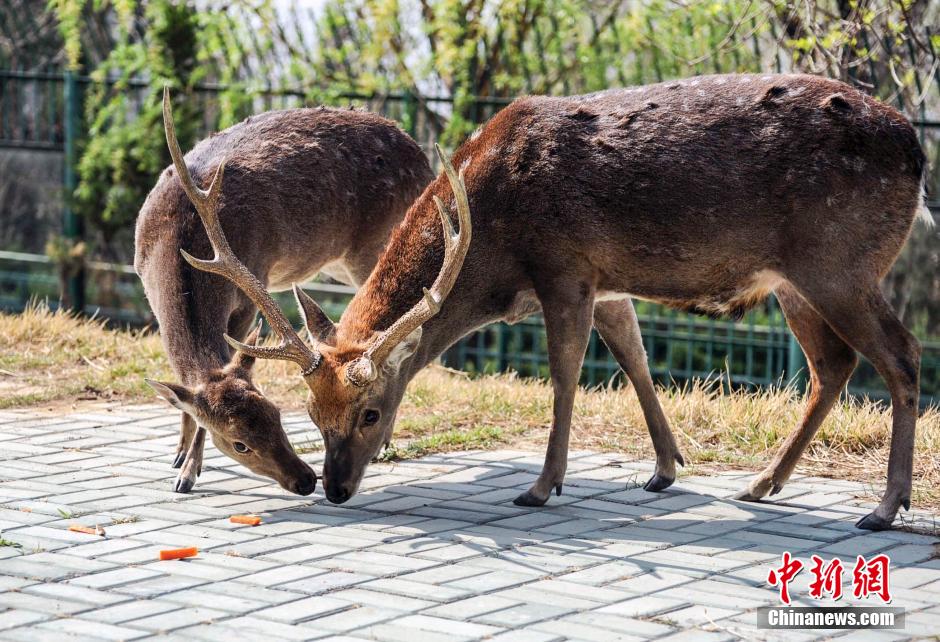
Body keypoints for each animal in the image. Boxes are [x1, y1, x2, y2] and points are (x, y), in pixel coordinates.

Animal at [133, 87, 434, 492]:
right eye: (239, 443)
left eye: (277, 414)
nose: (307, 480)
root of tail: (424, 157)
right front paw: (180, 456)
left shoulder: (247, 295)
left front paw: (188, 473)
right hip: (339, 263)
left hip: (376, 248)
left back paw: (384, 439)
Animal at [182, 74, 924, 528]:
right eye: (309, 411)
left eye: (371, 413)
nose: (332, 486)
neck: (492, 239)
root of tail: (918, 151)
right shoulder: (607, 278)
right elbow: (634, 358)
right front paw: (664, 468)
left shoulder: (564, 263)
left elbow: (566, 371)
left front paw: (543, 485)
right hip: (797, 279)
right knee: (833, 365)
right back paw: (763, 483)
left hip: (840, 260)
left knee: (902, 355)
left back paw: (885, 507)